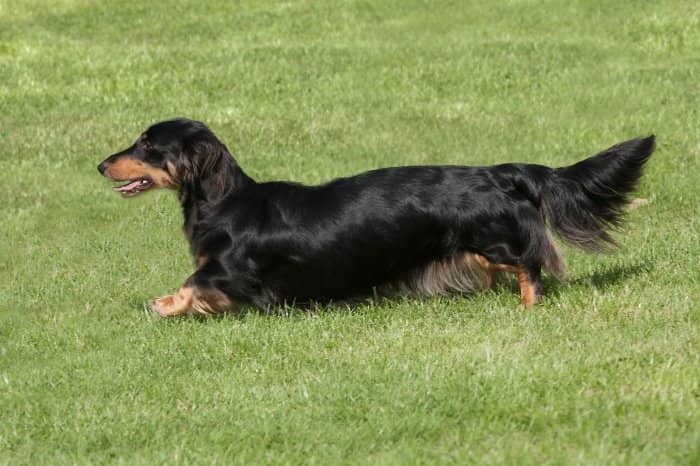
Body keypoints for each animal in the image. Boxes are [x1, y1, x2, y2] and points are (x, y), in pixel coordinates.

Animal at [95, 119, 652, 316]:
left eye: (147, 144)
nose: (100, 164)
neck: (229, 203)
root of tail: (498, 173)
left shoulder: (233, 271)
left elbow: (193, 282)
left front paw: (164, 305)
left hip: (494, 237)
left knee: (530, 266)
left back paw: (528, 306)